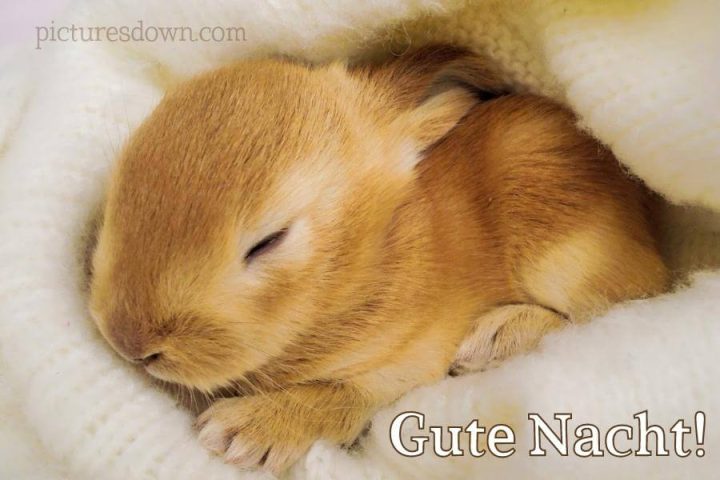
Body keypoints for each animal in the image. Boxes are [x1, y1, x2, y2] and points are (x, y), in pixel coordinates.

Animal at [88, 46, 669, 474]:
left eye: (268, 242)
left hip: (561, 247)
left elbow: (337, 398)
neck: (360, 263)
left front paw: (237, 432)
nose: (129, 341)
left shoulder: (403, 363)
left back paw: (493, 338)